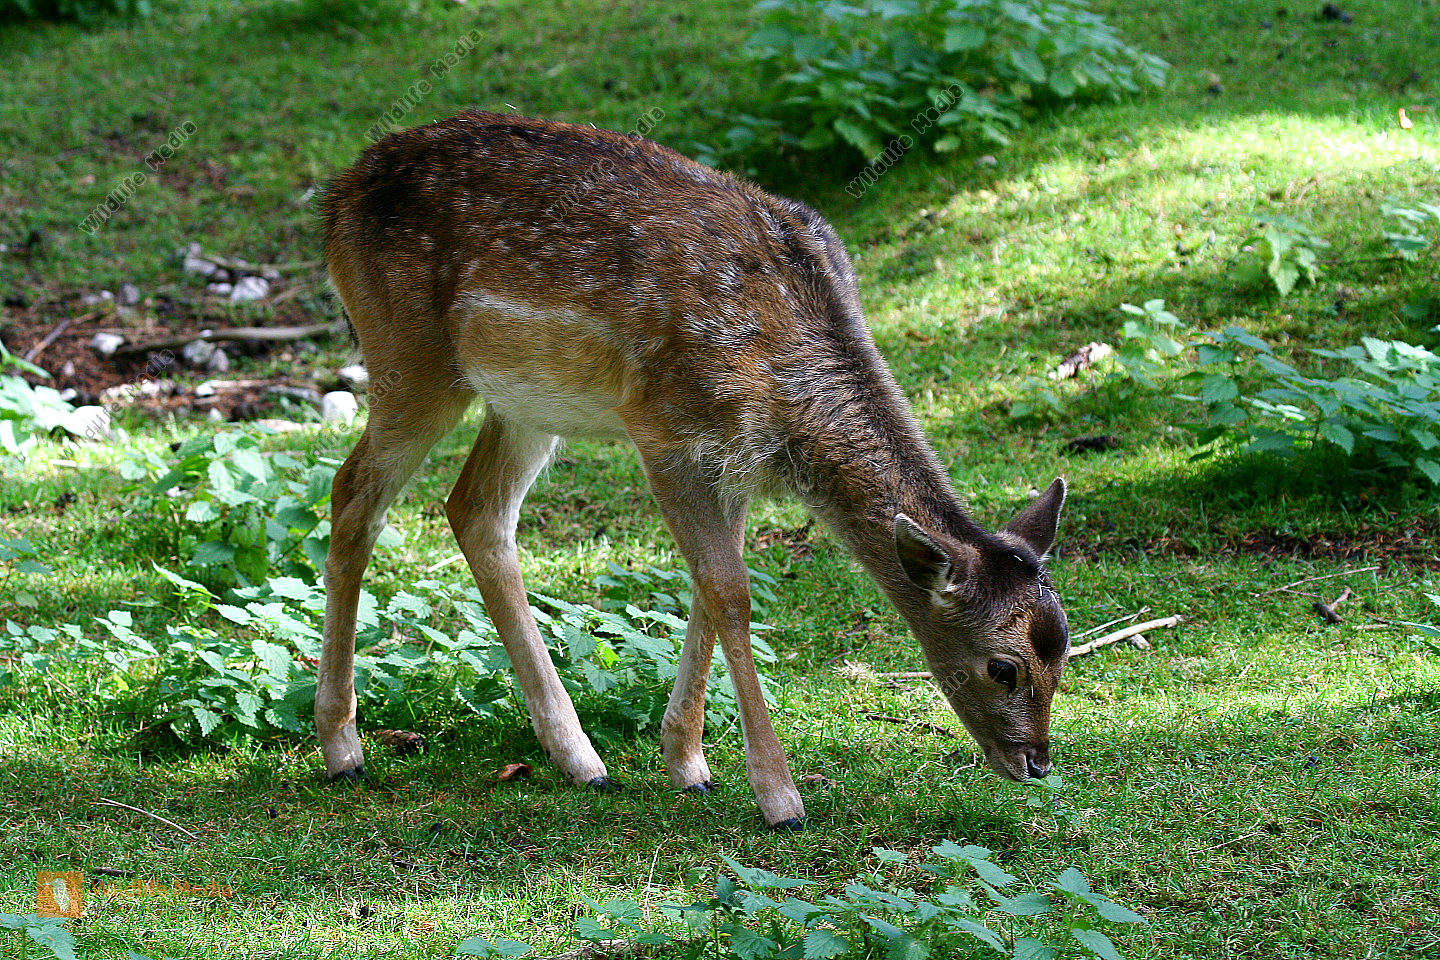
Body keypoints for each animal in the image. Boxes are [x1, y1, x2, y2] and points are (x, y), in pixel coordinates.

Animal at [316, 111, 1070, 829]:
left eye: (1062, 651)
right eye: (1003, 667)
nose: (1036, 763)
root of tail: (336, 195)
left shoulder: (735, 460)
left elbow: (714, 587)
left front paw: (686, 761)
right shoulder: (664, 429)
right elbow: (729, 591)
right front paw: (779, 798)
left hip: (525, 399)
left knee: (475, 508)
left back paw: (579, 758)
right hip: (408, 354)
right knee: (353, 491)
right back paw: (343, 747)